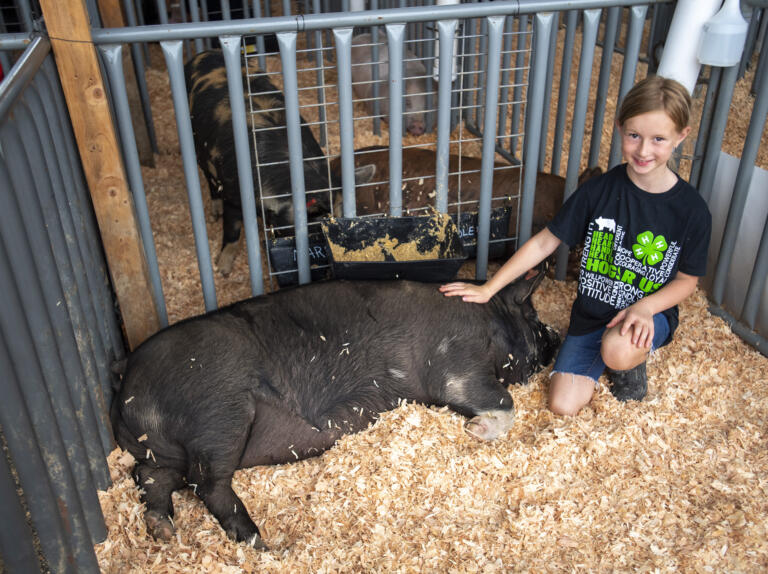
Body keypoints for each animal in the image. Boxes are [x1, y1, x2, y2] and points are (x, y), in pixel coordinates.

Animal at [111, 272, 560, 552]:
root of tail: (126, 386)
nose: (556, 338)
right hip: (220, 414)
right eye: (535, 318)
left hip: (166, 447)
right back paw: (265, 544)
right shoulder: (456, 363)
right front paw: (474, 430)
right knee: (207, 483)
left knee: (150, 475)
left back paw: (161, 530)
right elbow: (501, 401)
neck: (489, 322)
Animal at [188, 50, 376, 276]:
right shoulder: (234, 193)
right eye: (317, 230)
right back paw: (214, 215)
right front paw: (222, 270)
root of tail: (204, 53)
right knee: (209, 180)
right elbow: (232, 230)